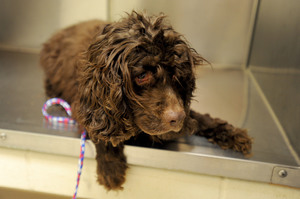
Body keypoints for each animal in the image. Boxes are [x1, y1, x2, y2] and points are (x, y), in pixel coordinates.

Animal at [39, 10, 251, 190]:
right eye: (142, 76)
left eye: (177, 75)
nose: (177, 119)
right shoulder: (85, 107)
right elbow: (100, 130)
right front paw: (110, 166)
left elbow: (201, 118)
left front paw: (231, 133)